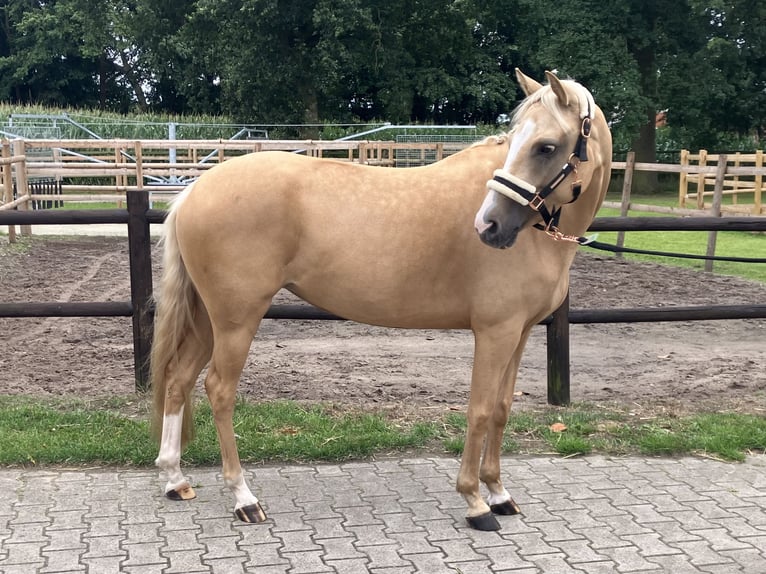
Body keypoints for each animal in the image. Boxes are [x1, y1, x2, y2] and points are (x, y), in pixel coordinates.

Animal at [151, 69, 612, 531]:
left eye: (545, 146)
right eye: (521, 140)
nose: (488, 225)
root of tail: (194, 191)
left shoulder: (519, 332)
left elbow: (500, 408)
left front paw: (499, 493)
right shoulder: (494, 332)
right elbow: (479, 410)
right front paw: (475, 501)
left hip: (209, 319)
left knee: (178, 379)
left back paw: (175, 479)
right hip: (236, 320)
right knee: (219, 389)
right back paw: (243, 497)